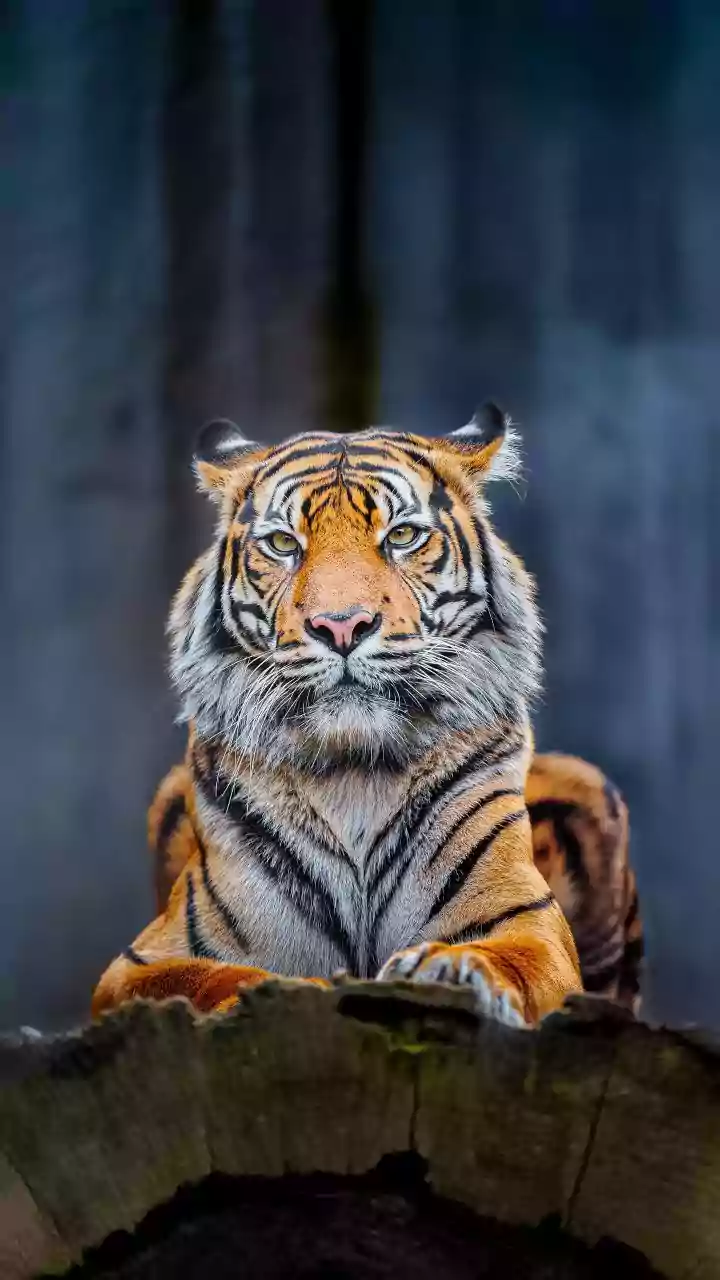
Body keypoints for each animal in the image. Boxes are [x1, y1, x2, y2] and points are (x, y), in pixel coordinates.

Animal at [93, 405, 643, 1025]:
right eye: (283, 543)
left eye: (401, 536)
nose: (341, 626)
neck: (354, 775)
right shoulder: (137, 964)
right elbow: (208, 976)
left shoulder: (532, 927)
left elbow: (509, 956)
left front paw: (451, 968)